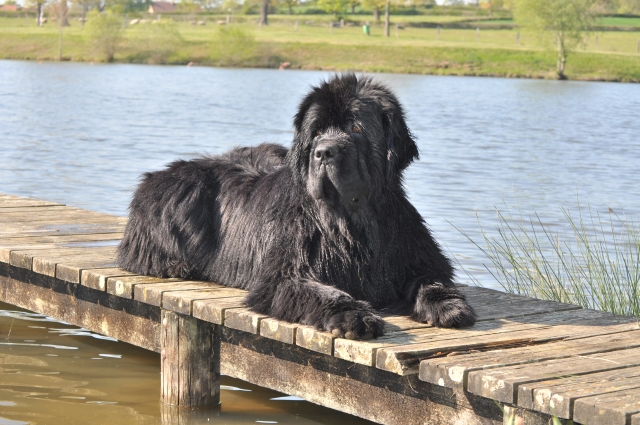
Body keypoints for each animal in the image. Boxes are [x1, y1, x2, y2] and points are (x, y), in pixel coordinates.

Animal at [116, 72, 476, 338]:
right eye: (316, 132)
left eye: (356, 127)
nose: (324, 152)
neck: (349, 222)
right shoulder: (282, 276)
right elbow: (322, 292)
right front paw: (354, 316)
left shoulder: (415, 256)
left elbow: (431, 280)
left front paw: (449, 307)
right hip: (182, 190)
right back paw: (176, 265)